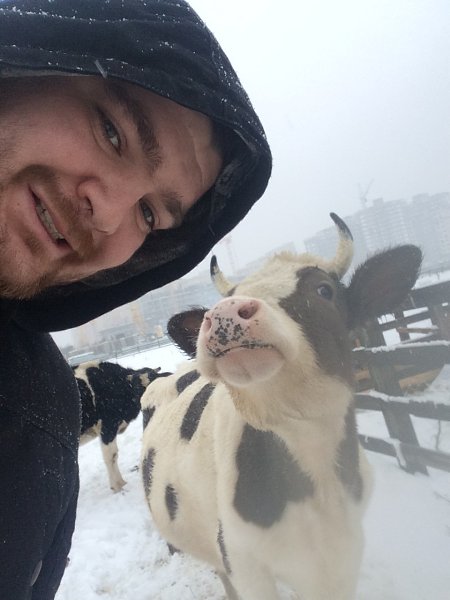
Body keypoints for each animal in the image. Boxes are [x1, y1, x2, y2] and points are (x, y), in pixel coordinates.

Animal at [74, 360, 168, 492]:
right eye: (137, 387)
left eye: (154, 382)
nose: (147, 402)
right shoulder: (108, 426)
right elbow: (111, 455)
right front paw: (118, 485)